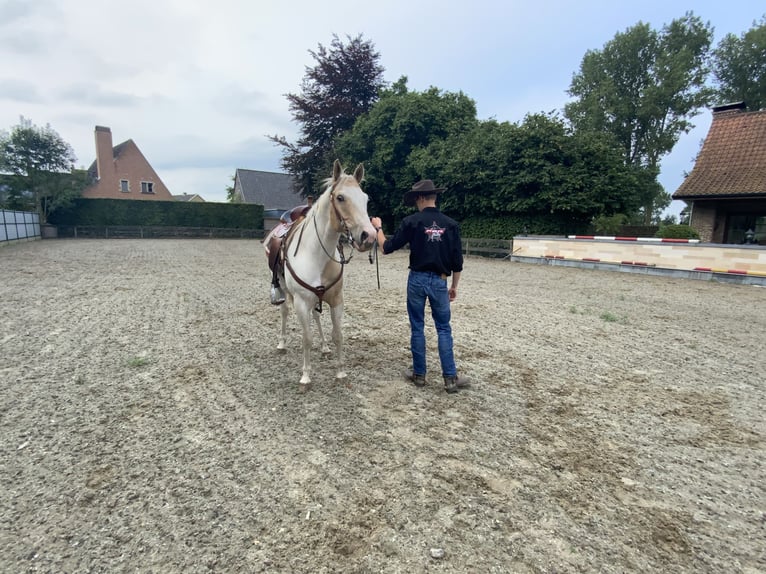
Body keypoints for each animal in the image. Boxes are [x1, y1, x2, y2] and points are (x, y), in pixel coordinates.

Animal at [270, 160, 378, 390]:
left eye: (365, 198)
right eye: (340, 198)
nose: (369, 236)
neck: (315, 254)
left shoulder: (336, 300)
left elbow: (338, 335)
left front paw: (340, 372)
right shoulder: (301, 302)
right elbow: (306, 338)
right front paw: (305, 377)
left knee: (317, 316)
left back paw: (324, 347)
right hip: (283, 288)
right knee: (284, 311)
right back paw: (282, 343)